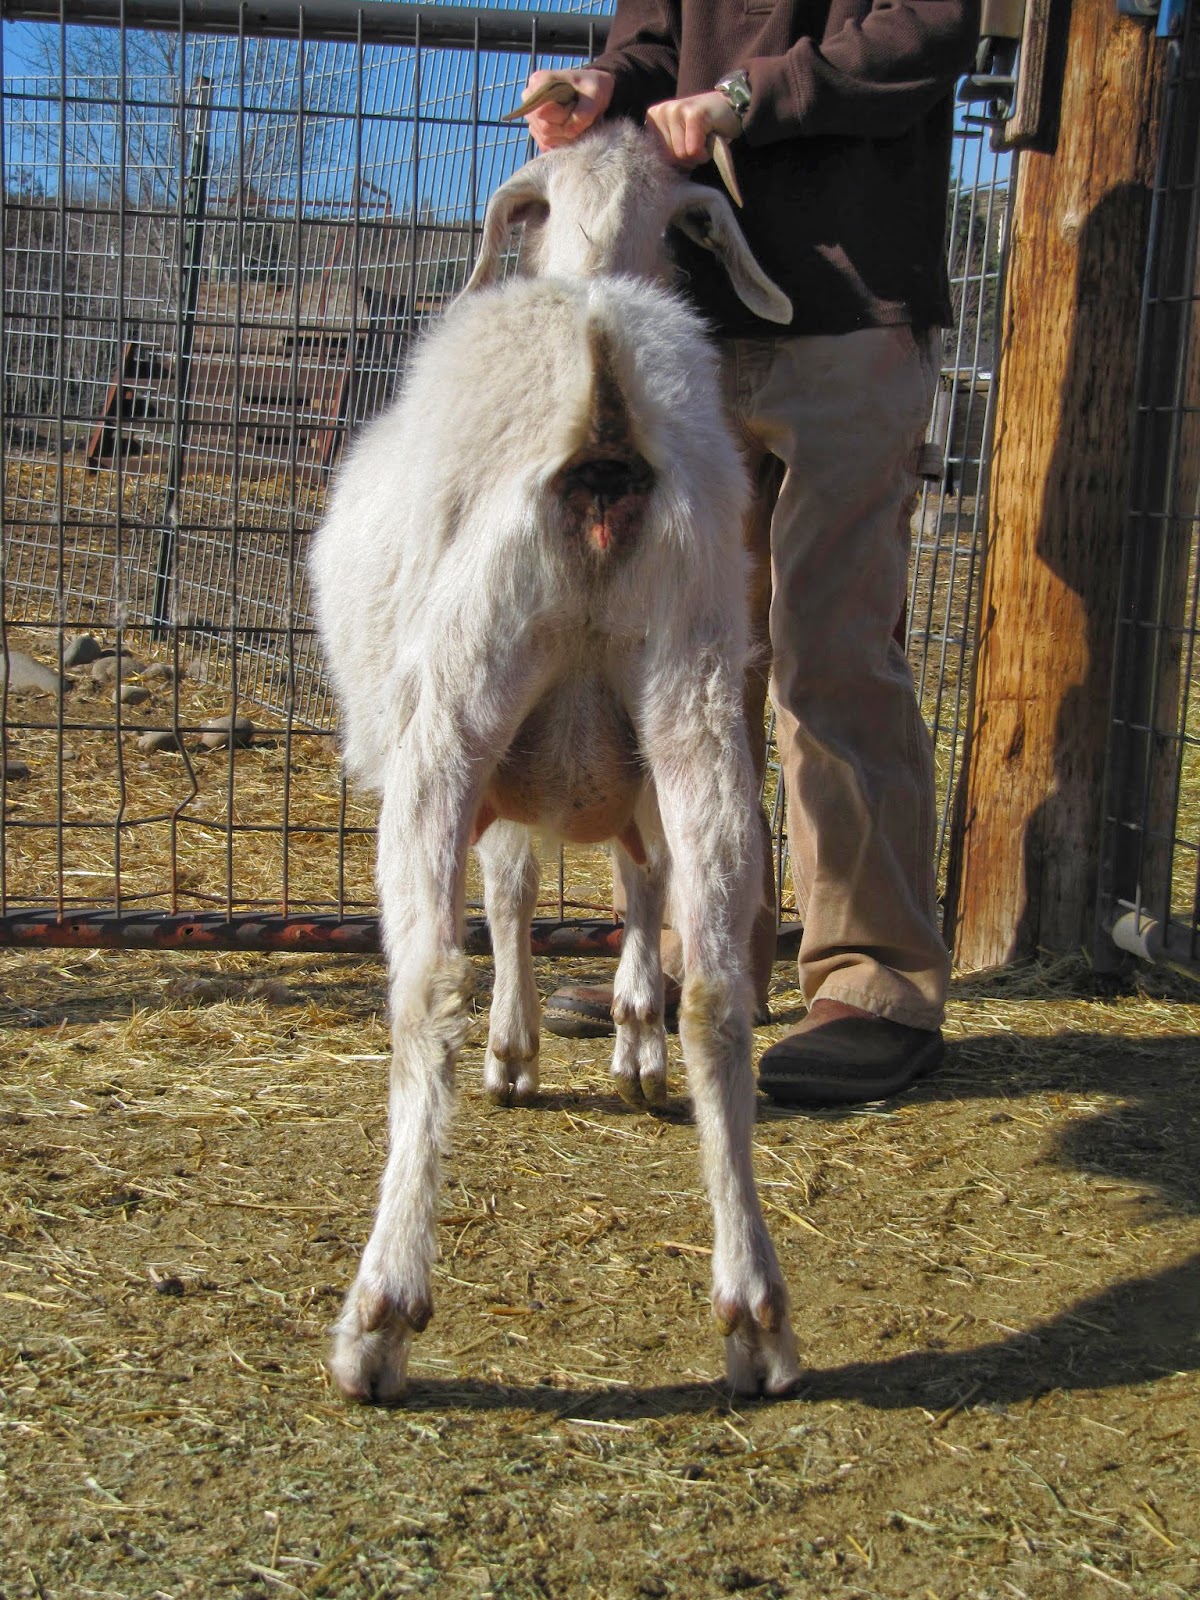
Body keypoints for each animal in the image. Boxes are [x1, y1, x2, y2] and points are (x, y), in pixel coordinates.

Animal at [310, 120, 800, 1402]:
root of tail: (603, 375)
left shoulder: (503, 777)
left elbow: (514, 891)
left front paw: (519, 1053)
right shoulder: (621, 774)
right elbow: (625, 891)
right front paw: (620, 1037)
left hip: (454, 704)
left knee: (426, 984)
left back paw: (381, 1311)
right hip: (698, 700)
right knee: (717, 985)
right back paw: (756, 1315)